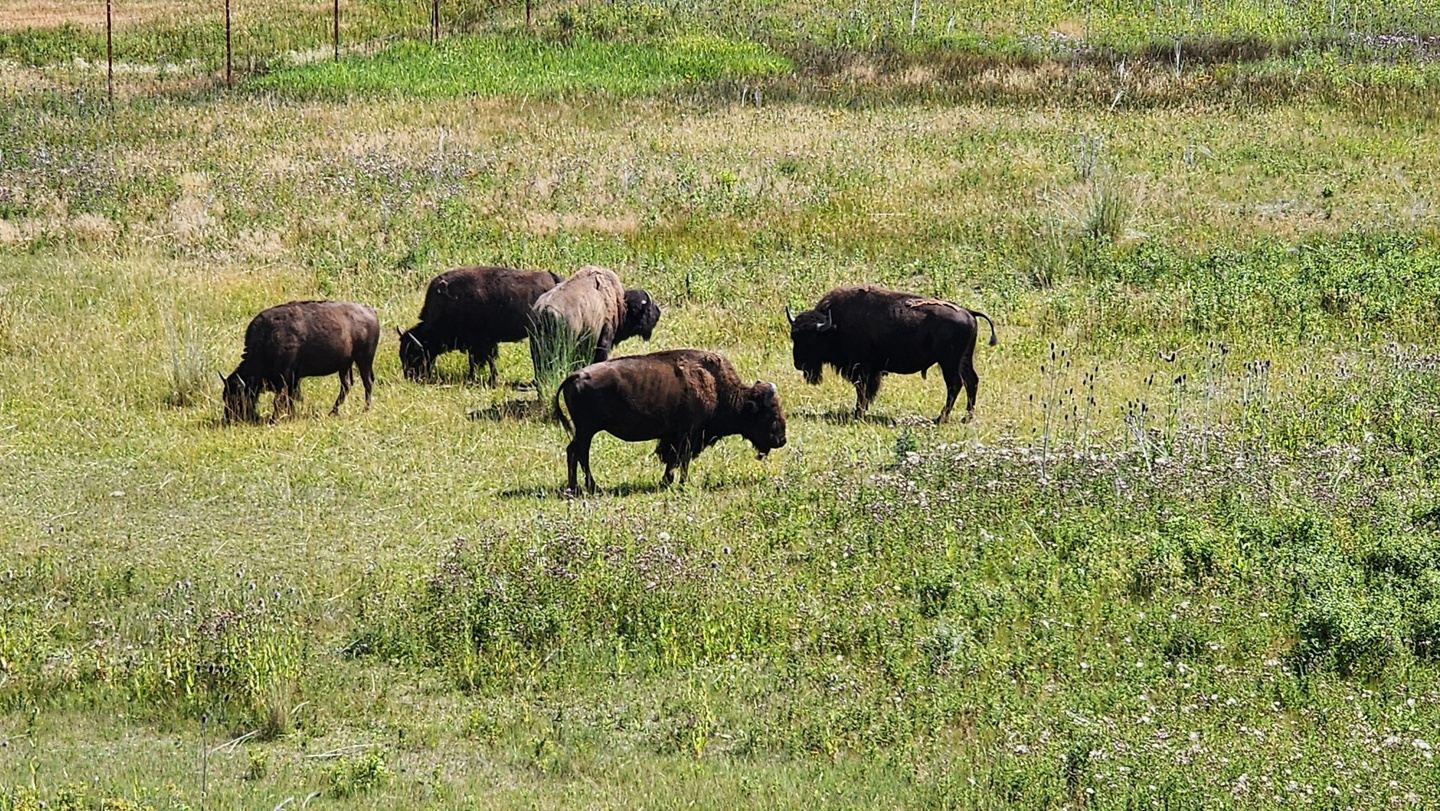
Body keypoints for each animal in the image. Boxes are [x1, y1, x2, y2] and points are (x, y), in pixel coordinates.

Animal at [222, 300, 379, 424]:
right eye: (225, 397)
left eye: (237, 398)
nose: (230, 418)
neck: (267, 340)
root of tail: (370, 311)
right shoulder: (293, 379)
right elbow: (289, 398)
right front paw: (290, 415)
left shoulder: (285, 378)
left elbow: (279, 399)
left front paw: (274, 419)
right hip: (345, 365)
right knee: (346, 385)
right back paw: (333, 412)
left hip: (364, 360)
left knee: (367, 382)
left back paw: (365, 409)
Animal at [398, 265, 562, 384]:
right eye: (401, 354)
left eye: (413, 354)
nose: (410, 377)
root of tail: (553, 278)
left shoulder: (482, 343)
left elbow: (483, 360)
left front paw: (484, 379)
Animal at [551, 349, 786, 494]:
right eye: (770, 414)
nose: (781, 440)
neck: (716, 386)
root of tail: (575, 376)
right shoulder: (688, 435)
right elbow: (682, 459)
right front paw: (680, 483)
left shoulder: (676, 436)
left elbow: (674, 459)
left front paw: (667, 481)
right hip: (587, 430)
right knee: (580, 452)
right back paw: (591, 487)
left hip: (584, 431)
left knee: (573, 451)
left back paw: (574, 487)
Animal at [787, 285, 996, 424]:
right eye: (793, 336)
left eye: (811, 339)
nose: (798, 363)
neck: (833, 325)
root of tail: (969, 312)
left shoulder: (863, 369)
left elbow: (862, 390)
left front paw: (858, 414)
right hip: (964, 360)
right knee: (971, 381)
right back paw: (966, 417)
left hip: (949, 362)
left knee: (955, 384)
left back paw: (941, 418)